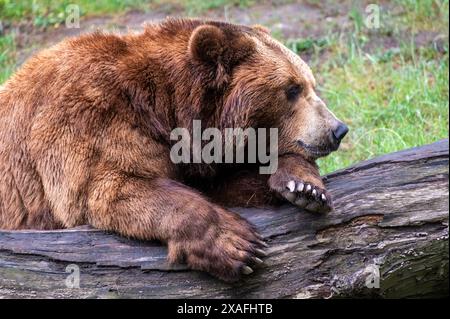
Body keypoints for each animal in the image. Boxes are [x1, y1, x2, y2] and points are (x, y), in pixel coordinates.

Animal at [0, 18, 348, 282]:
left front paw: (304, 186)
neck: (166, 111)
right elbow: (112, 189)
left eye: (310, 83)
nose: (338, 129)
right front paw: (239, 246)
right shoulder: (89, 121)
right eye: (292, 89)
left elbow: (228, 182)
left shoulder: (196, 162)